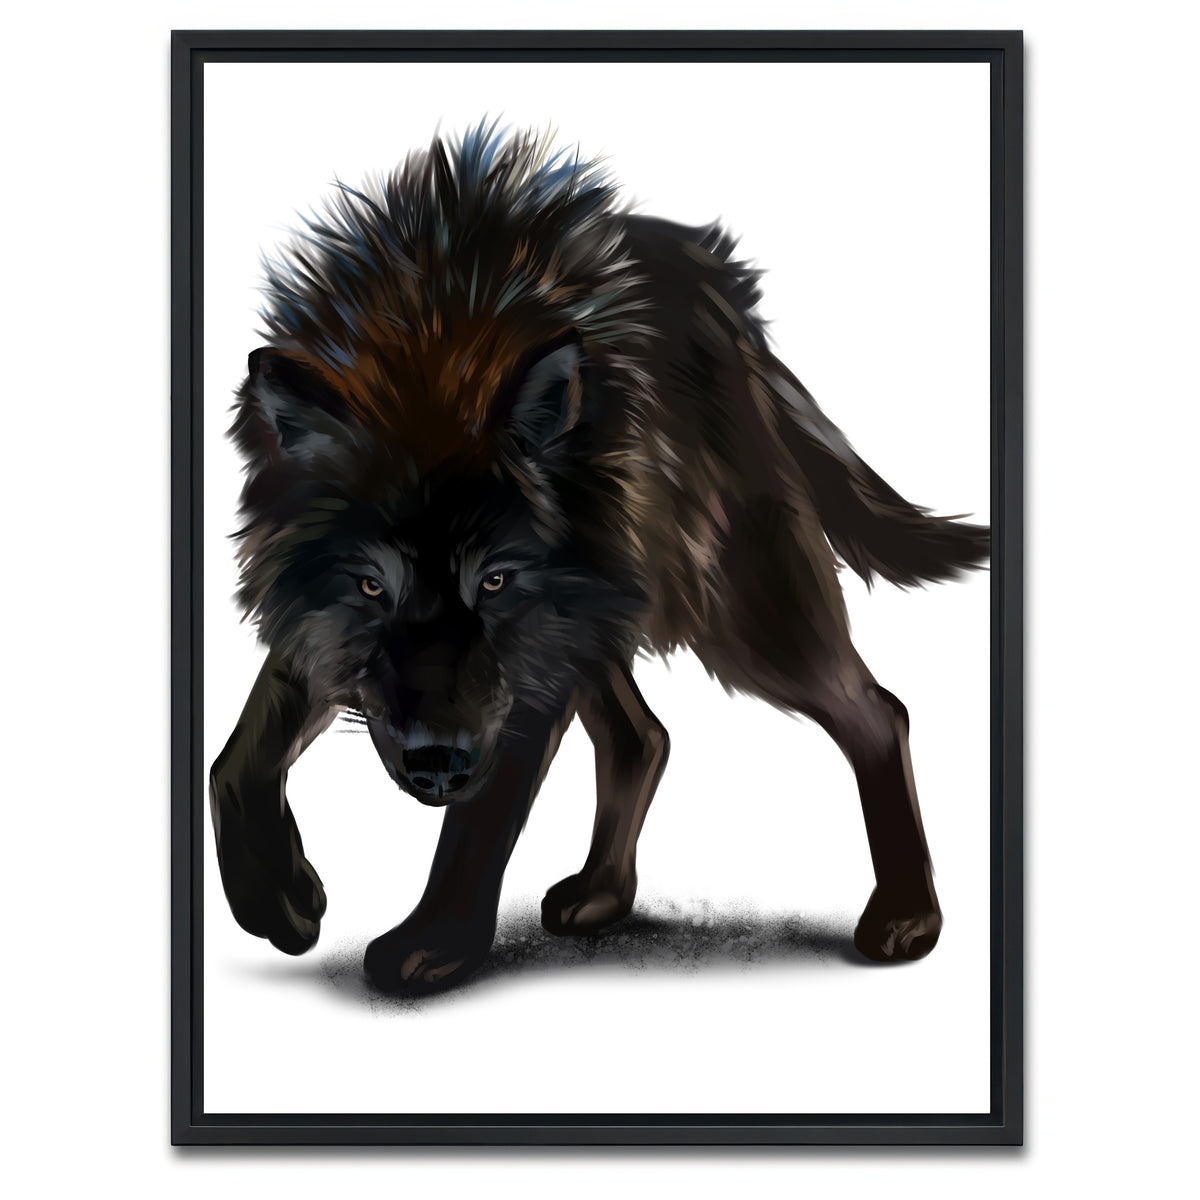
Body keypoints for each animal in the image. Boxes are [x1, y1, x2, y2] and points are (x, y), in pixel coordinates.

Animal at [209, 125, 989, 995]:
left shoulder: (524, 668)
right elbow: (234, 761)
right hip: (607, 614)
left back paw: (907, 918)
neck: (433, 342)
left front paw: (433, 942)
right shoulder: (323, 631)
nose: (438, 765)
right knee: (643, 737)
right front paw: (278, 900)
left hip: (737, 610)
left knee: (877, 712)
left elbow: (480, 821)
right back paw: (602, 896)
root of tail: (726, 299)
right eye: (372, 585)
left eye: (495, 580)